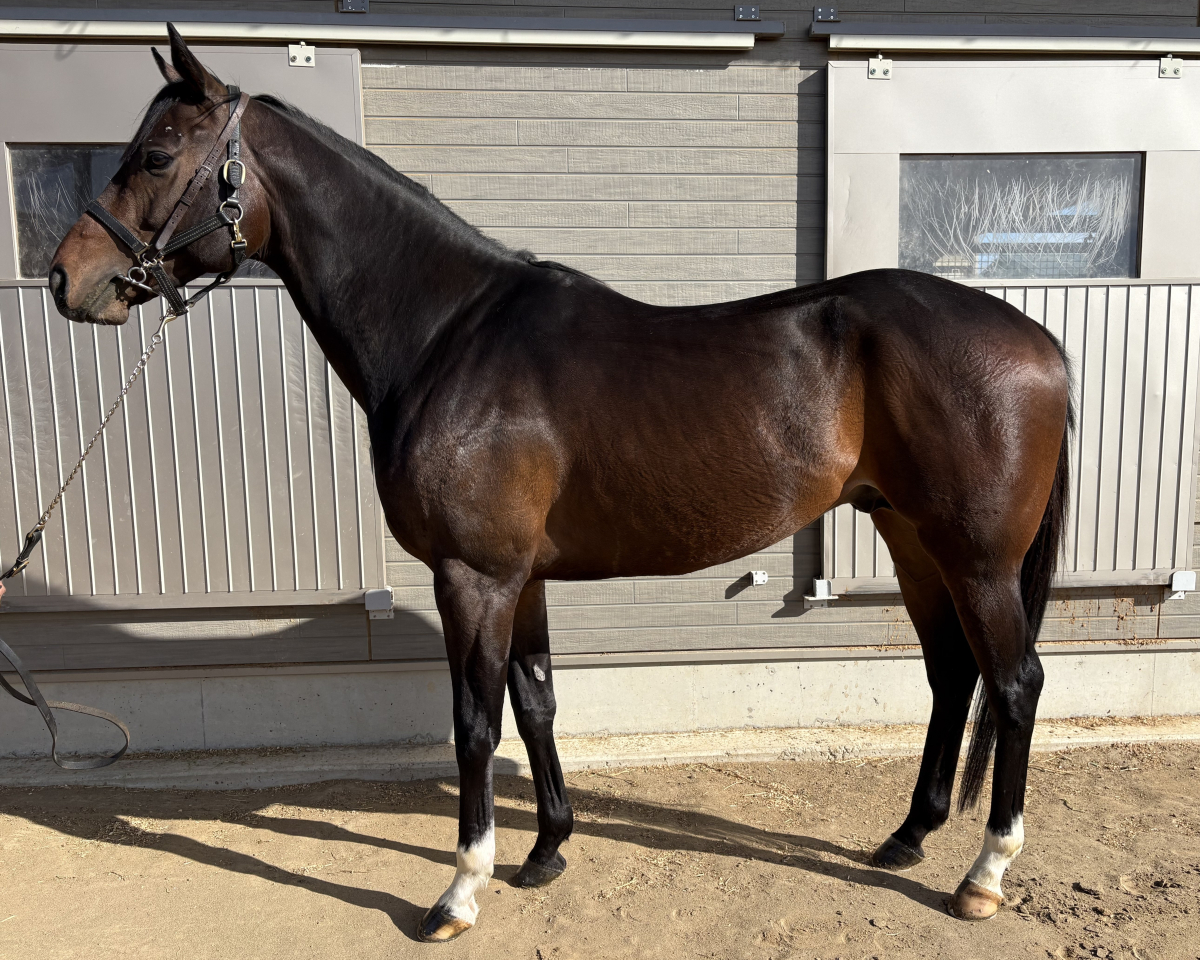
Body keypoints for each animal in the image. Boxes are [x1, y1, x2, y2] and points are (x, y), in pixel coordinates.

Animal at [48, 25, 1072, 941]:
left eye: (154, 155)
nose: (66, 278)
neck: (448, 335)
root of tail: (1040, 343)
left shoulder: (473, 577)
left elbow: (474, 722)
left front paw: (460, 891)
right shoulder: (522, 575)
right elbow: (536, 701)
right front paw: (547, 850)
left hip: (977, 558)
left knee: (1015, 681)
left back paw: (983, 874)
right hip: (912, 538)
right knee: (951, 673)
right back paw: (908, 837)